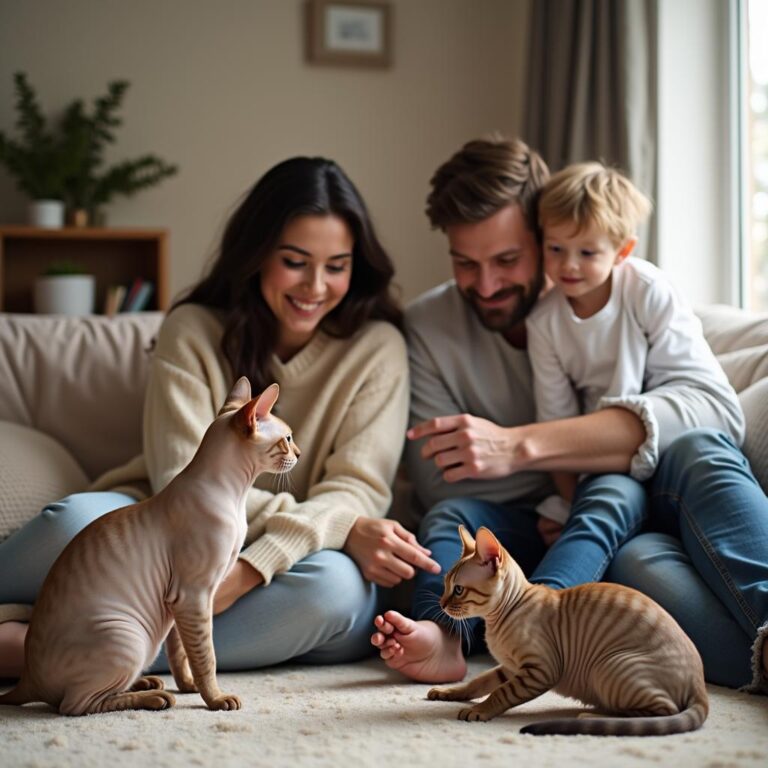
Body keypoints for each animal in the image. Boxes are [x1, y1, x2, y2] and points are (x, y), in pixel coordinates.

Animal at [0, 378, 298, 712]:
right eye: (287, 439)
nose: (299, 454)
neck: (236, 497)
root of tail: (27, 678)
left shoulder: (182, 602)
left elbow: (181, 652)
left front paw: (189, 687)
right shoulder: (194, 596)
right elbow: (206, 656)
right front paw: (215, 699)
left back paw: (146, 683)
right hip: (127, 637)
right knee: (75, 705)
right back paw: (153, 697)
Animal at [426, 524, 708, 736]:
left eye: (458, 590)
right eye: (445, 586)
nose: (441, 604)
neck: (497, 621)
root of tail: (700, 683)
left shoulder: (540, 669)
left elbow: (500, 693)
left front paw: (480, 710)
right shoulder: (510, 667)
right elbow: (479, 682)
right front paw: (450, 692)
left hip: (609, 666)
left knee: (662, 711)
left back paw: (592, 716)